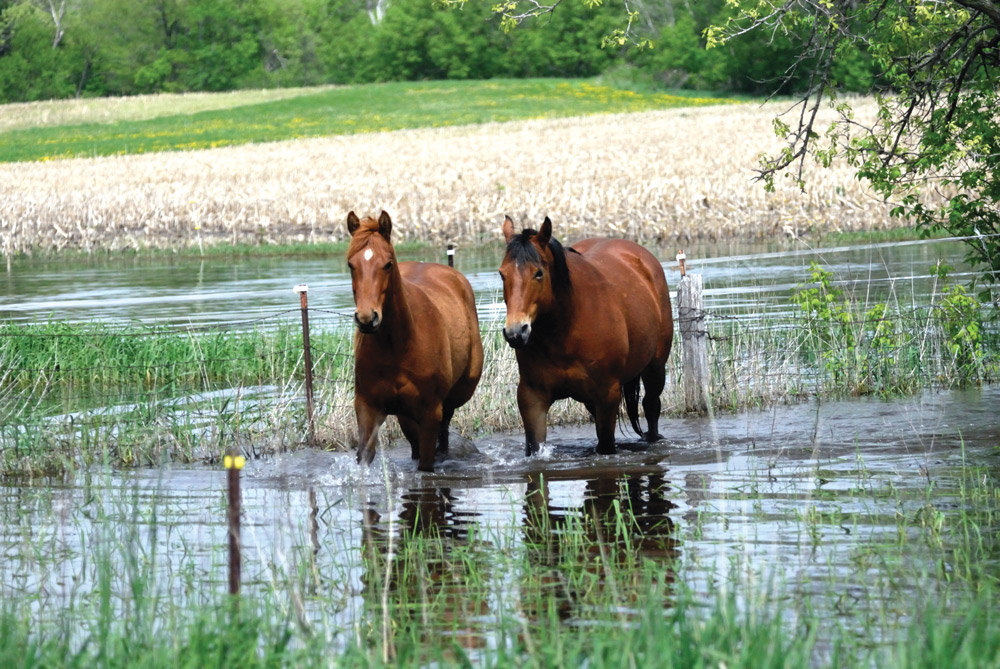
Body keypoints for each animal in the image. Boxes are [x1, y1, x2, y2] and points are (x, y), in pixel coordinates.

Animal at [348, 211, 484, 472]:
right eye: (351, 264)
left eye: (387, 264)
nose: (367, 318)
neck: (396, 347)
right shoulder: (367, 408)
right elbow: (364, 455)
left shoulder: (430, 413)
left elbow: (426, 464)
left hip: (455, 396)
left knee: (445, 428)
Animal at [498, 217, 672, 456]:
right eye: (502, 273)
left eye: (538, 273)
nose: (516, 332)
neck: (564, 331)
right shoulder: (532, 397)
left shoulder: (607, 394)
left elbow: (606, 445)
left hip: (655, 369)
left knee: (651, 406)